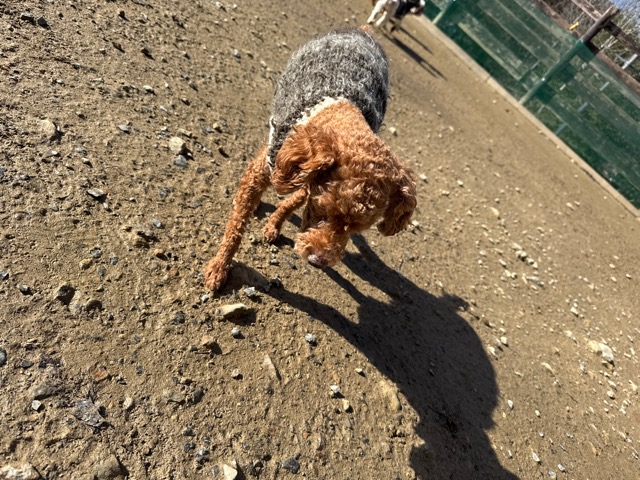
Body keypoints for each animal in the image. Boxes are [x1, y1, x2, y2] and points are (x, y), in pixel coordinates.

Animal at [203, 27, 417, 292]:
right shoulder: (268, 169)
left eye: (358, 226)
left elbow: (292, 201)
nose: (318, 261)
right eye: (323, 209)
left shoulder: (310, 180)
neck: (337, 108)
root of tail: (361, 32)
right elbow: (236, 226)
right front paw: (219, 267)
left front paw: (274, 225)